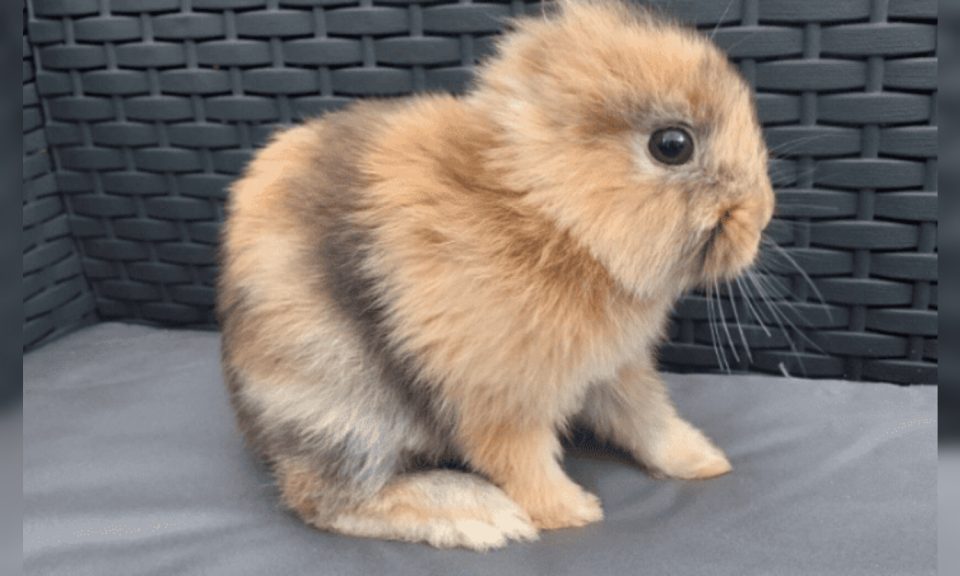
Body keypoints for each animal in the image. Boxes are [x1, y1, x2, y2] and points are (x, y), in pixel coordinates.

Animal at [218, 0, 774, 551]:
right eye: (672, 145)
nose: (762, 215)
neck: (551, 213)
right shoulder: (502, 398)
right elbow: (521, 462)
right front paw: (572, 511)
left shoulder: (616, 370)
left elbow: (648, 421)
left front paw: (704, 461)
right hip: (345, 408)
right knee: (327, 497)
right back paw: (481, 516)